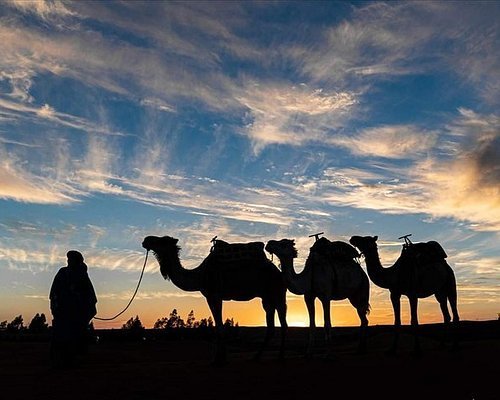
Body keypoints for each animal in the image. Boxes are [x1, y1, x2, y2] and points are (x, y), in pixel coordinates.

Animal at [143, 236, 288, 364]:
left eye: (162, 240)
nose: (146, 240)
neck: (199, 276)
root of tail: (279, 273)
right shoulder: (213, 296)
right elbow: (219, 324)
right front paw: (221, 357)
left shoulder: (214, 295)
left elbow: (219, 326)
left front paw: (218, 359)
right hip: (267, 297)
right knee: (271, 326)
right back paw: (256, 357)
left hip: (277, 293)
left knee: (283, 322)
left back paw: (281, 356)